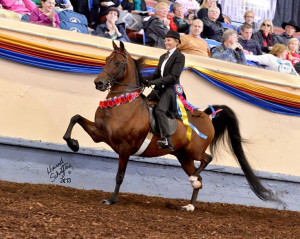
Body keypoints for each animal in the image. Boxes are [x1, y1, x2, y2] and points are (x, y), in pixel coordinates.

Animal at [63, 41, 276, 211]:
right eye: (107, 58)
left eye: (116, 62)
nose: (98, 83)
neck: (123, 104)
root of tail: (207, 115)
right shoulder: (99, 134)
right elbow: (75, 118)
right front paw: (73, 144)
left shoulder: (125, 147)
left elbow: (119, 175)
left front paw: (112, 200)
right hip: (183, 157)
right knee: (200, 179)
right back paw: (189, 205)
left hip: (194, 151)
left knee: (207, 159)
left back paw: (192, 186)